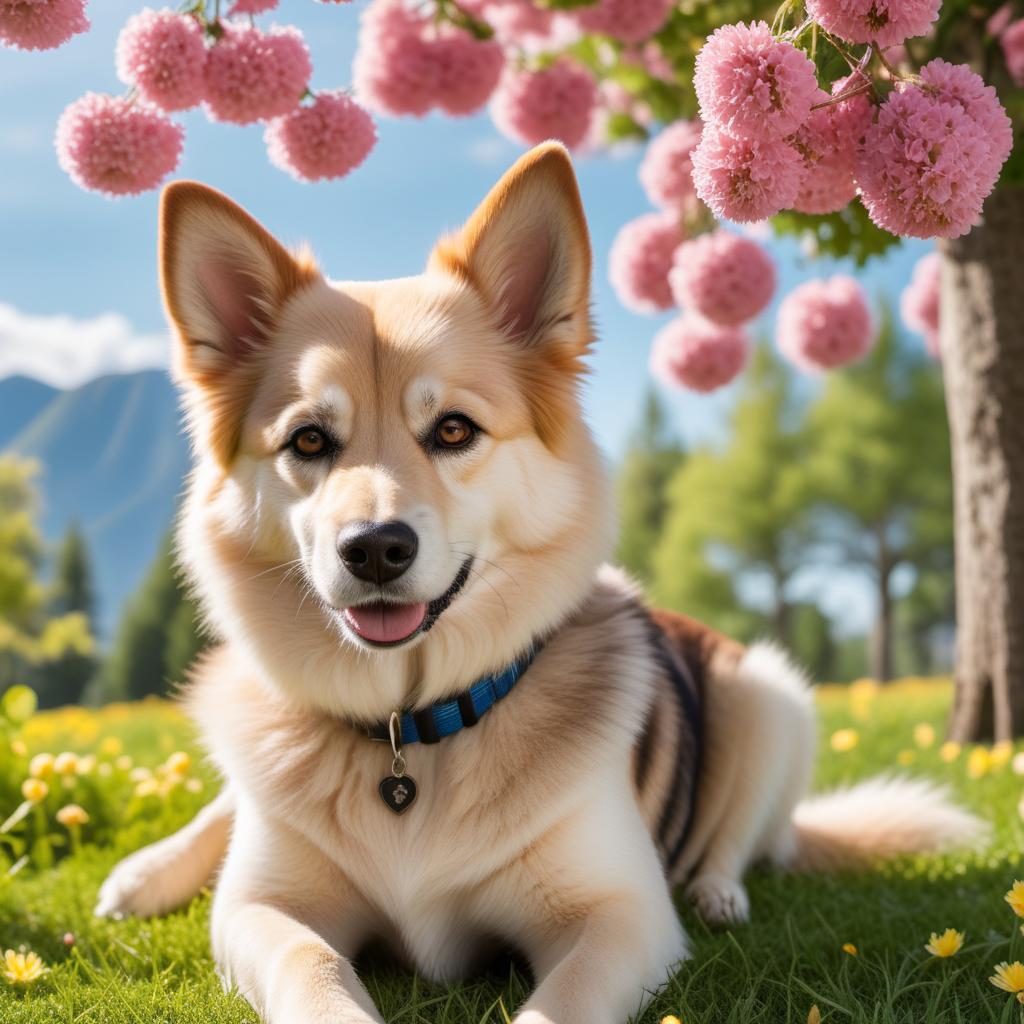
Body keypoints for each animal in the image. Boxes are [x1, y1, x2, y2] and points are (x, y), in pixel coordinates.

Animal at [97, 142, 983, 1024]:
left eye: (453, 429)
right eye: (309, 440)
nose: (375, 549)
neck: (410, 738)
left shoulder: (621, 916)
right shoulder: (260, 910)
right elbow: (308, 964)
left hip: (770, 701)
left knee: (742, 838)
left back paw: (718, 892)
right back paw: (142, 874)